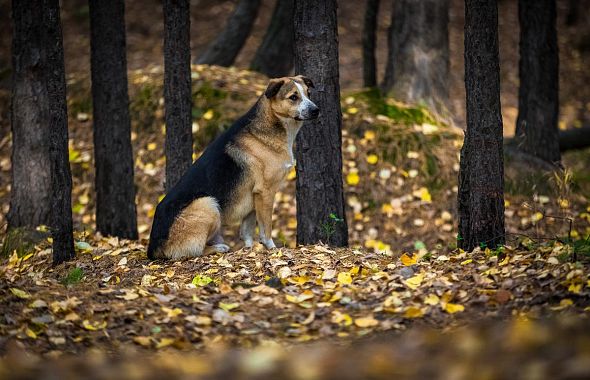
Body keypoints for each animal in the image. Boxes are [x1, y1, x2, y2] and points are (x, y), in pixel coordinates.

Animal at [150, 75, 322, 260]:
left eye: (308, 93)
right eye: (293, 97)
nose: (316, 110)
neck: (272, 124)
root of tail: (152, 248)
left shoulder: (253, 197)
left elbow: (246, 232)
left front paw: (249, 250)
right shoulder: (265, 192)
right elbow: (266, 229)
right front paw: (272, 249)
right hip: (207, 203)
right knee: (194, 251)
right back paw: (219, 248)